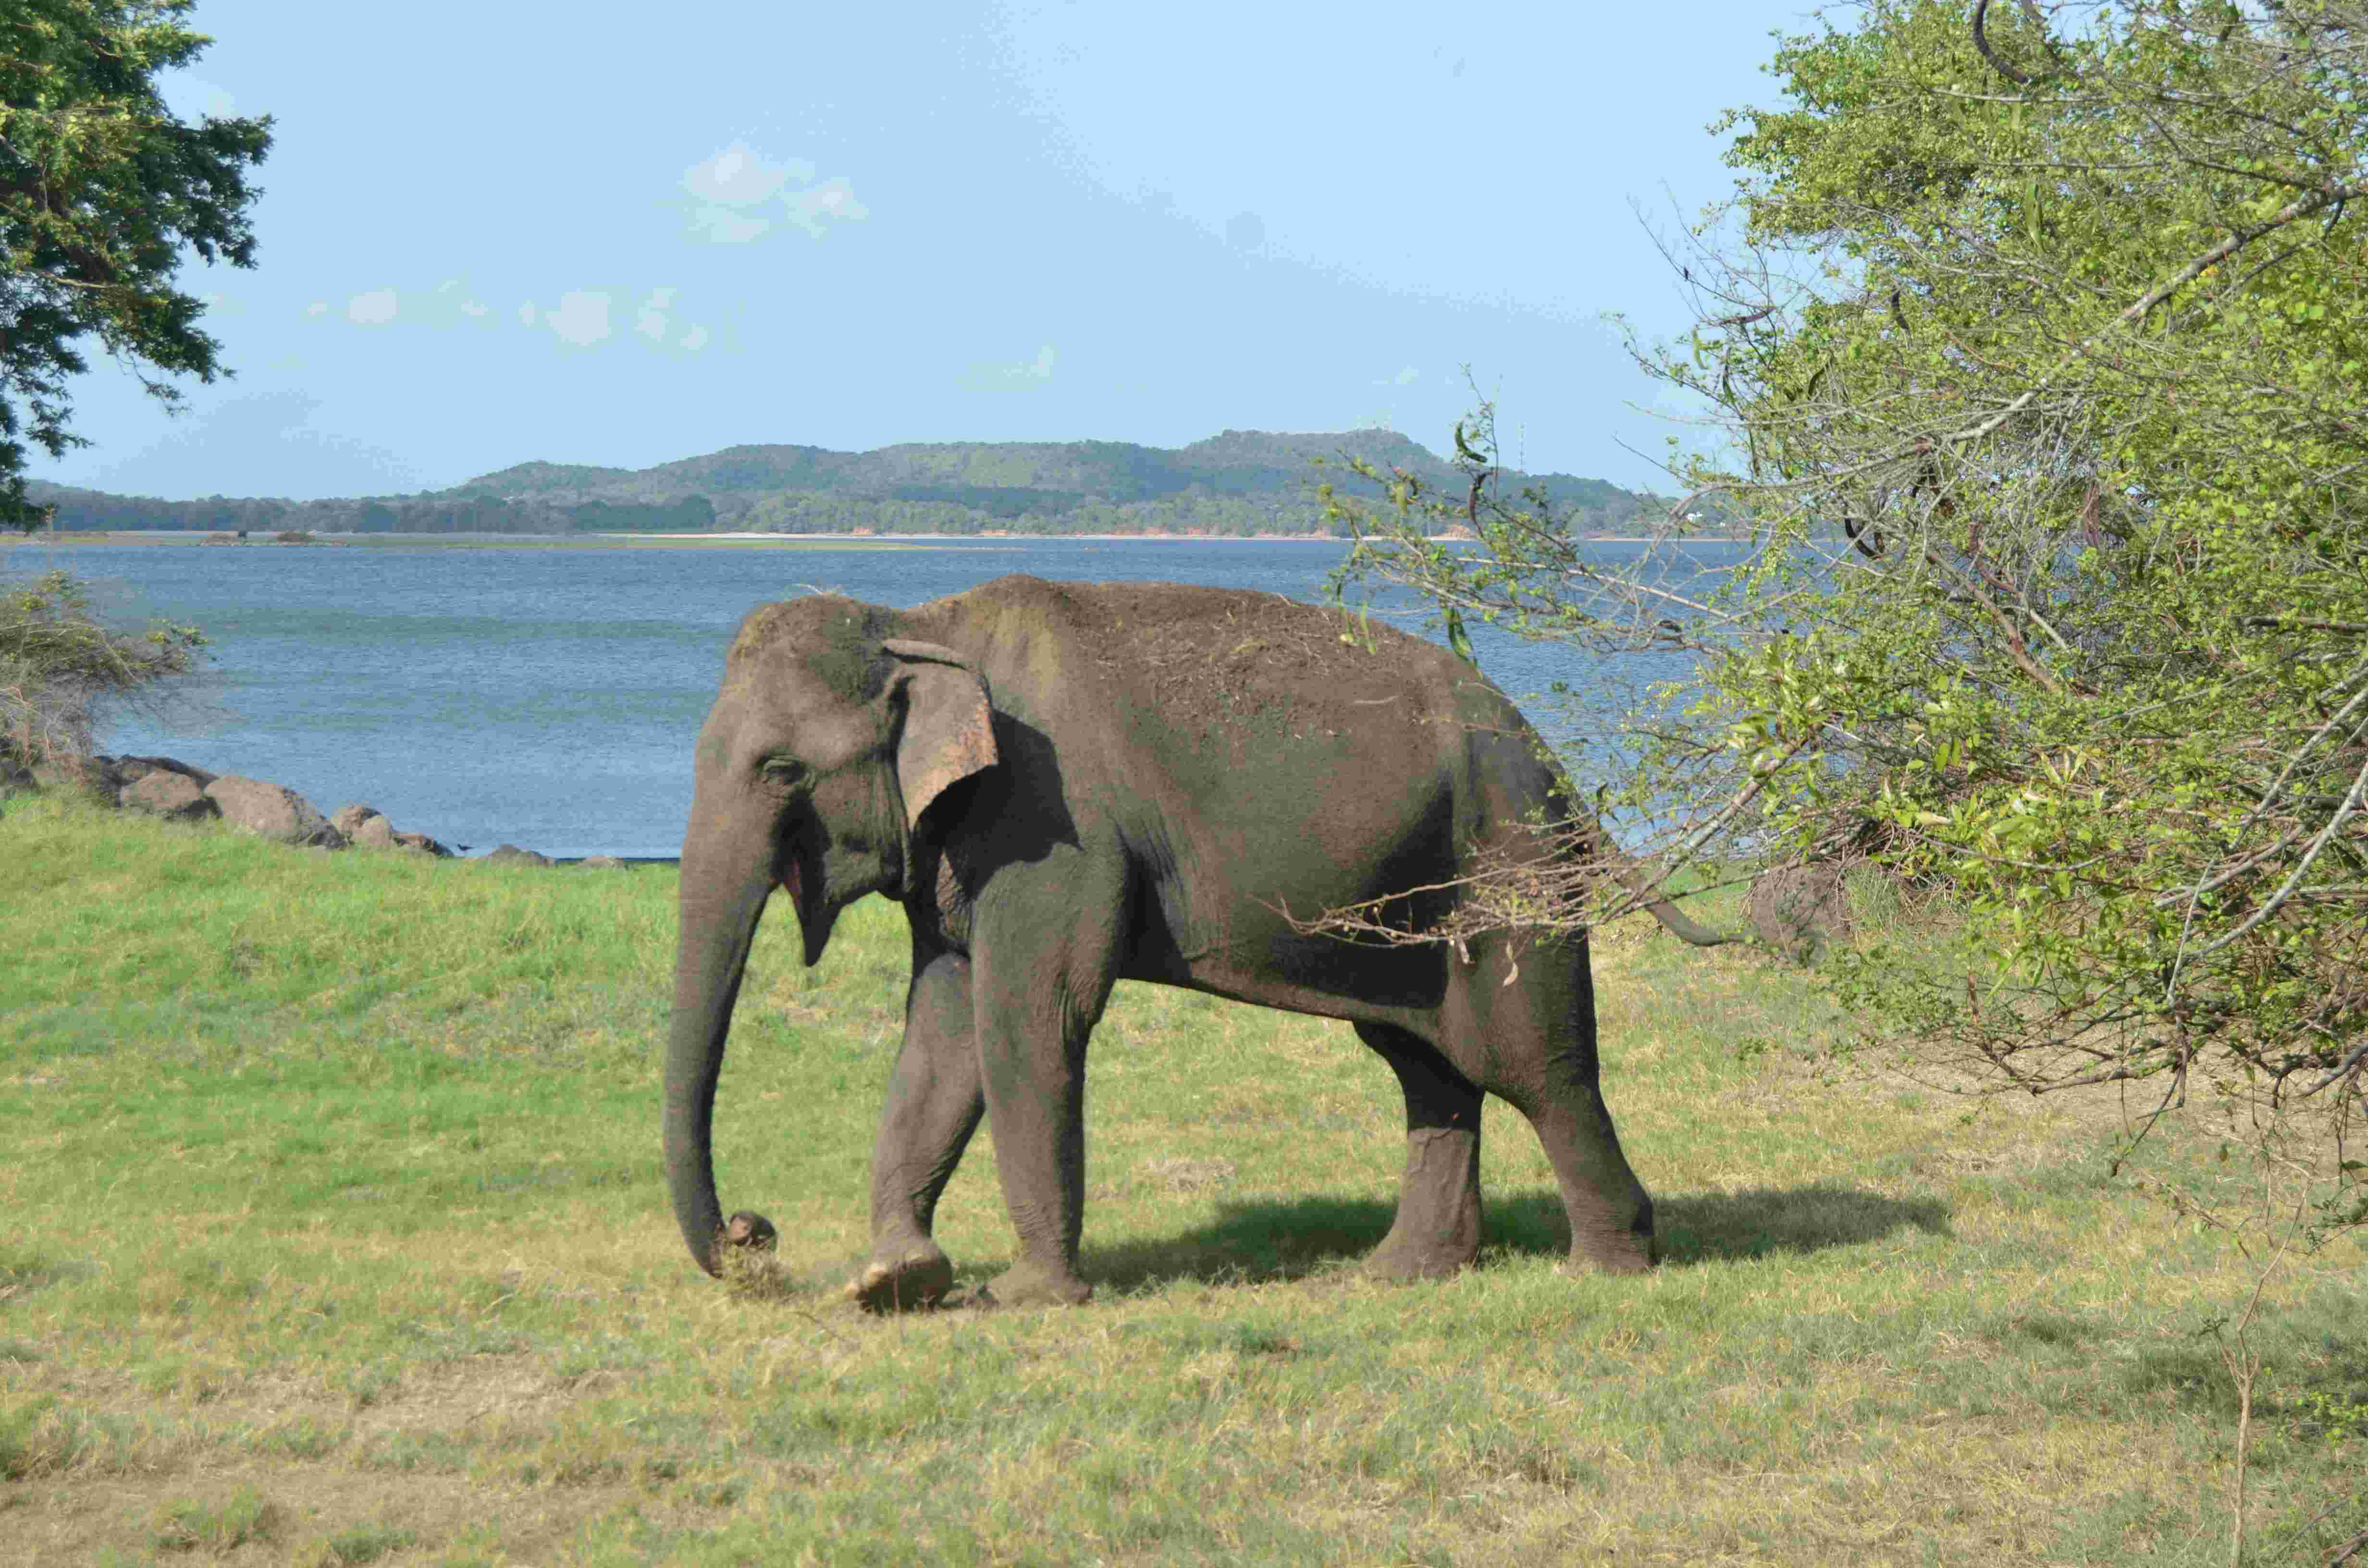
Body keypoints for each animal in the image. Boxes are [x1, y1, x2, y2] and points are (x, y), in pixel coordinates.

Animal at [665, 575, 1726, 1308]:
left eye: (780, 768)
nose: (755, 1237)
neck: (923, 621)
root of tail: (1548, 752)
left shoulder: (1050, 823)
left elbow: (1033, 1014)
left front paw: (1022, 1297)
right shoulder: (965, 848)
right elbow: (945, 1029)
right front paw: (893, 1278)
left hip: (1503, 853)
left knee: (1528, 1062)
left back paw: (1607, 1269)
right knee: (1426, 1064)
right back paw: (1397, 1274)